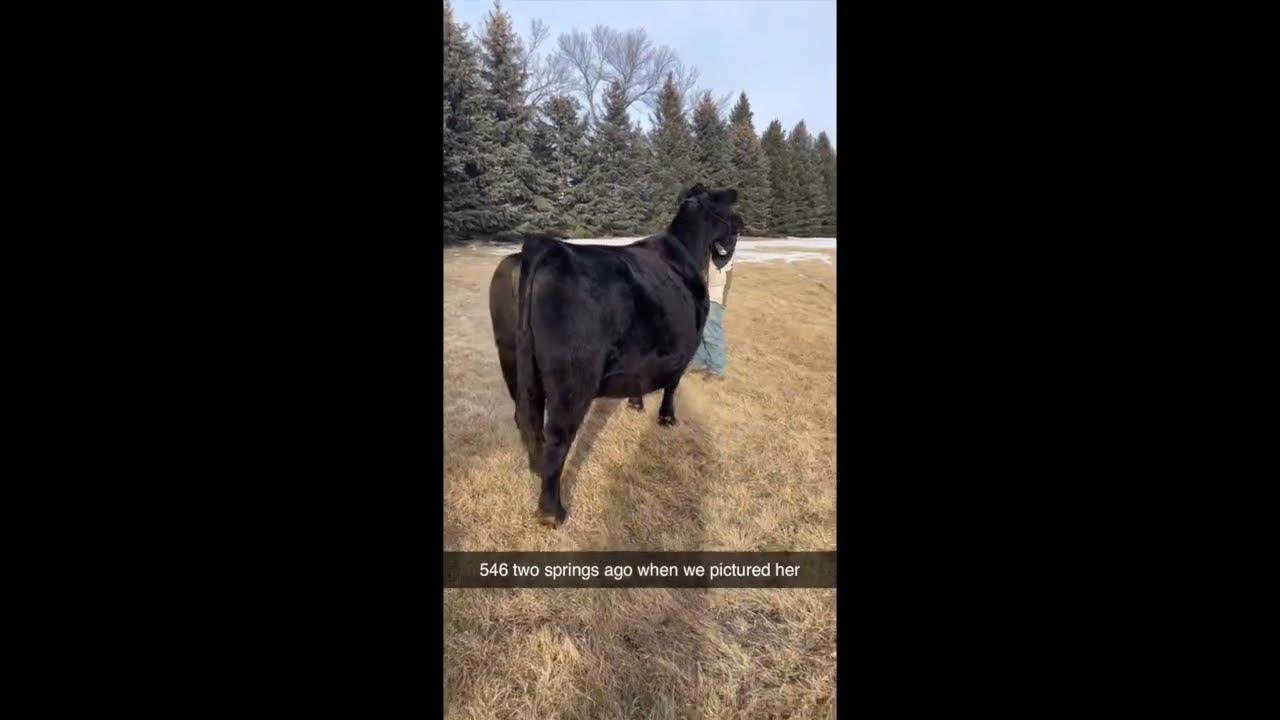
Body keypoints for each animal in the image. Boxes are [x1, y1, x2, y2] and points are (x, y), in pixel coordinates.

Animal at [487, 184, 742, 527]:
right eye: (729, 208)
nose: (740, 226)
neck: (689, 251)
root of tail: (547, 246)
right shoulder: (686, 342)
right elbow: (673, 383)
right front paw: (667, 418)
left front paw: (635, 403)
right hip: (574, 377)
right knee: (558, 435)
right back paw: (552, 512)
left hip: (512, 358)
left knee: (526, 417)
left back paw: (535, 469)